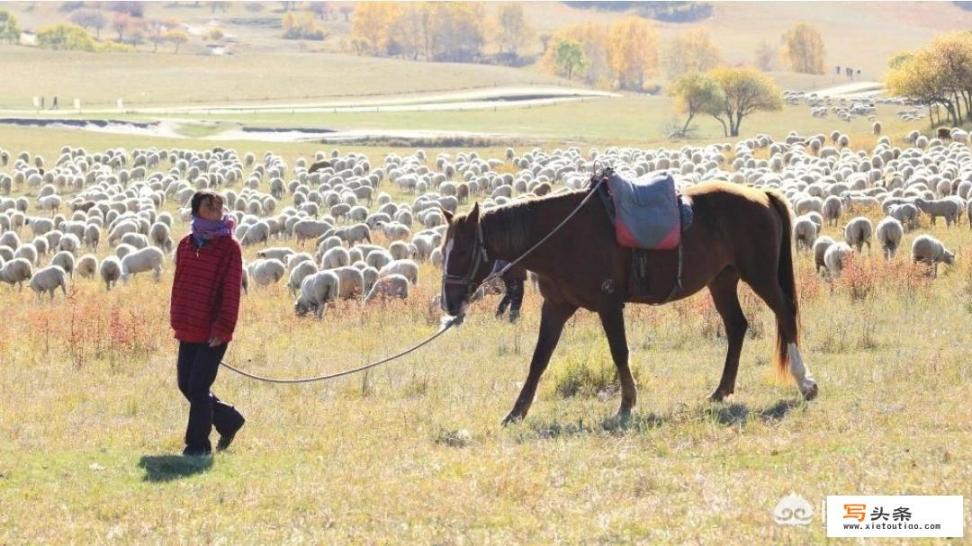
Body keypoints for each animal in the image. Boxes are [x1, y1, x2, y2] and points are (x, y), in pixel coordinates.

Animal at [442, 176, 820, 422]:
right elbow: (539, 359)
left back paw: (806, 383)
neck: (563, 236)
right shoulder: (556, 308)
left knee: (785, 314)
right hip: (722, 282)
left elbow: (619, 352)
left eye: (460, 250)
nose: (448, 303)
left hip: (761, 276)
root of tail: (762, 196)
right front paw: (516, 411)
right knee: (737, 327)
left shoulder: (609, 304)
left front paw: (626, 404)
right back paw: (721, 390)